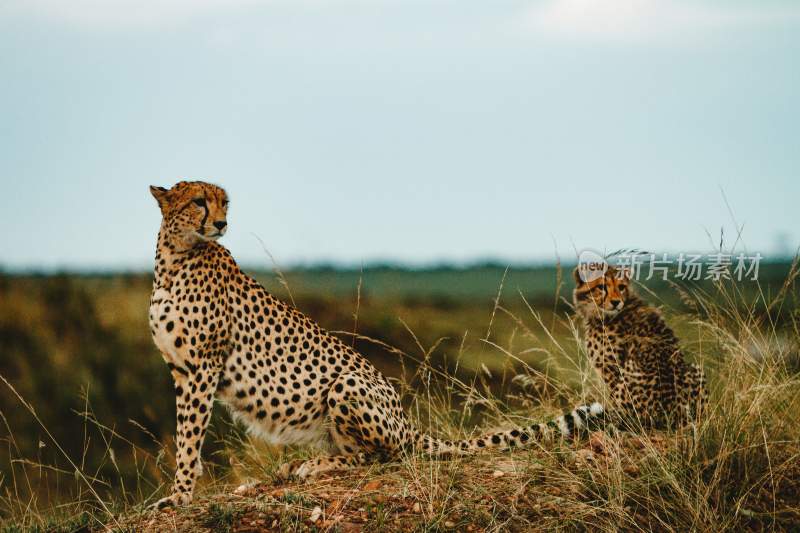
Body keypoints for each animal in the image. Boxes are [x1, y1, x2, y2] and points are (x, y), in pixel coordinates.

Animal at [148, 182, 608, 508]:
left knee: (383, 456)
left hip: (346, 385)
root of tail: (406, 422)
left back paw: (314, 464)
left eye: (224, 203)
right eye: (199, 202)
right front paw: (181, 490)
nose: (221, 224)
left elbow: (190, 436)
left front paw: (180, 495)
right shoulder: (182, 370)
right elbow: (186, 432)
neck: (174, 259)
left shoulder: (203, 366)